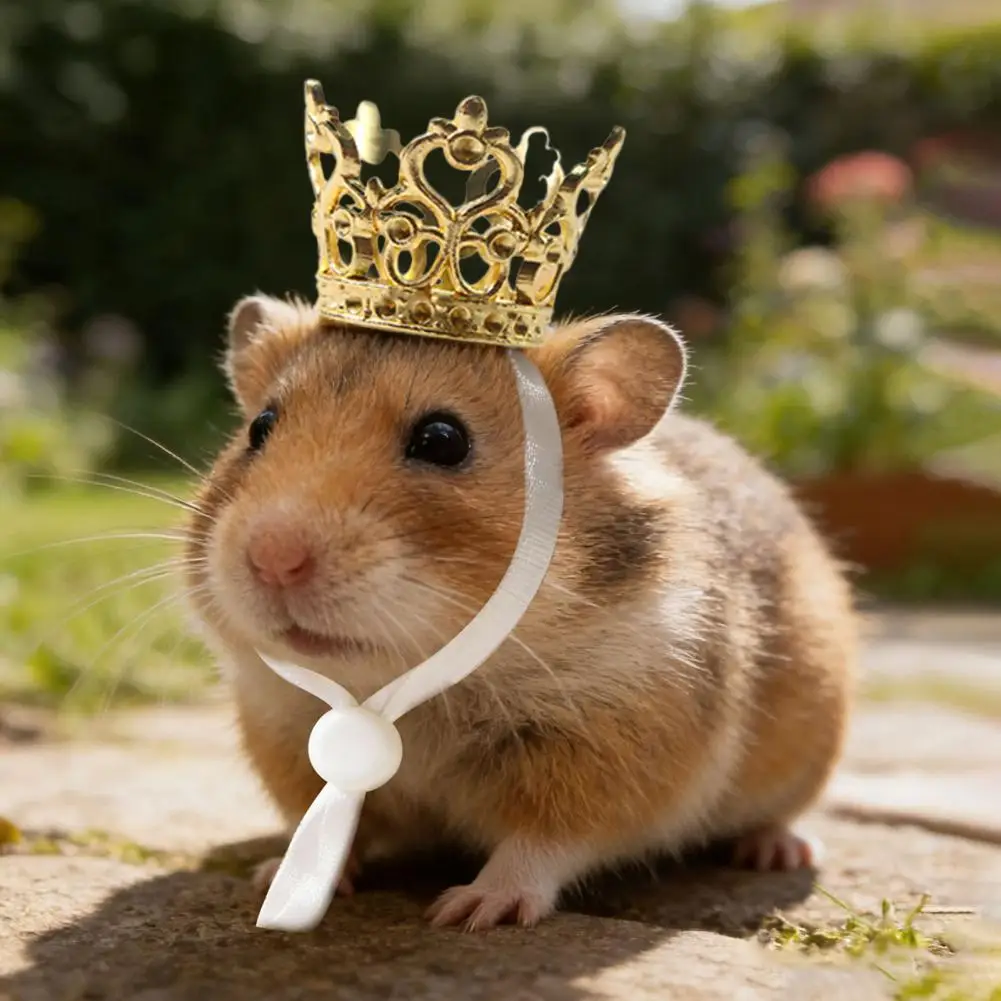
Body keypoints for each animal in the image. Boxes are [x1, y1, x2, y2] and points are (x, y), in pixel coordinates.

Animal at [184, 293, 856, 932]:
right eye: (260, 428)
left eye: (443, 440)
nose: (272, 559)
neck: (404, 691)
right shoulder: (286, 733)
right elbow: (328, 823)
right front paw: (275, 879)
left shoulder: (612, 754)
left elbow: (540, 844)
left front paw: (472, 911)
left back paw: (778, 851)